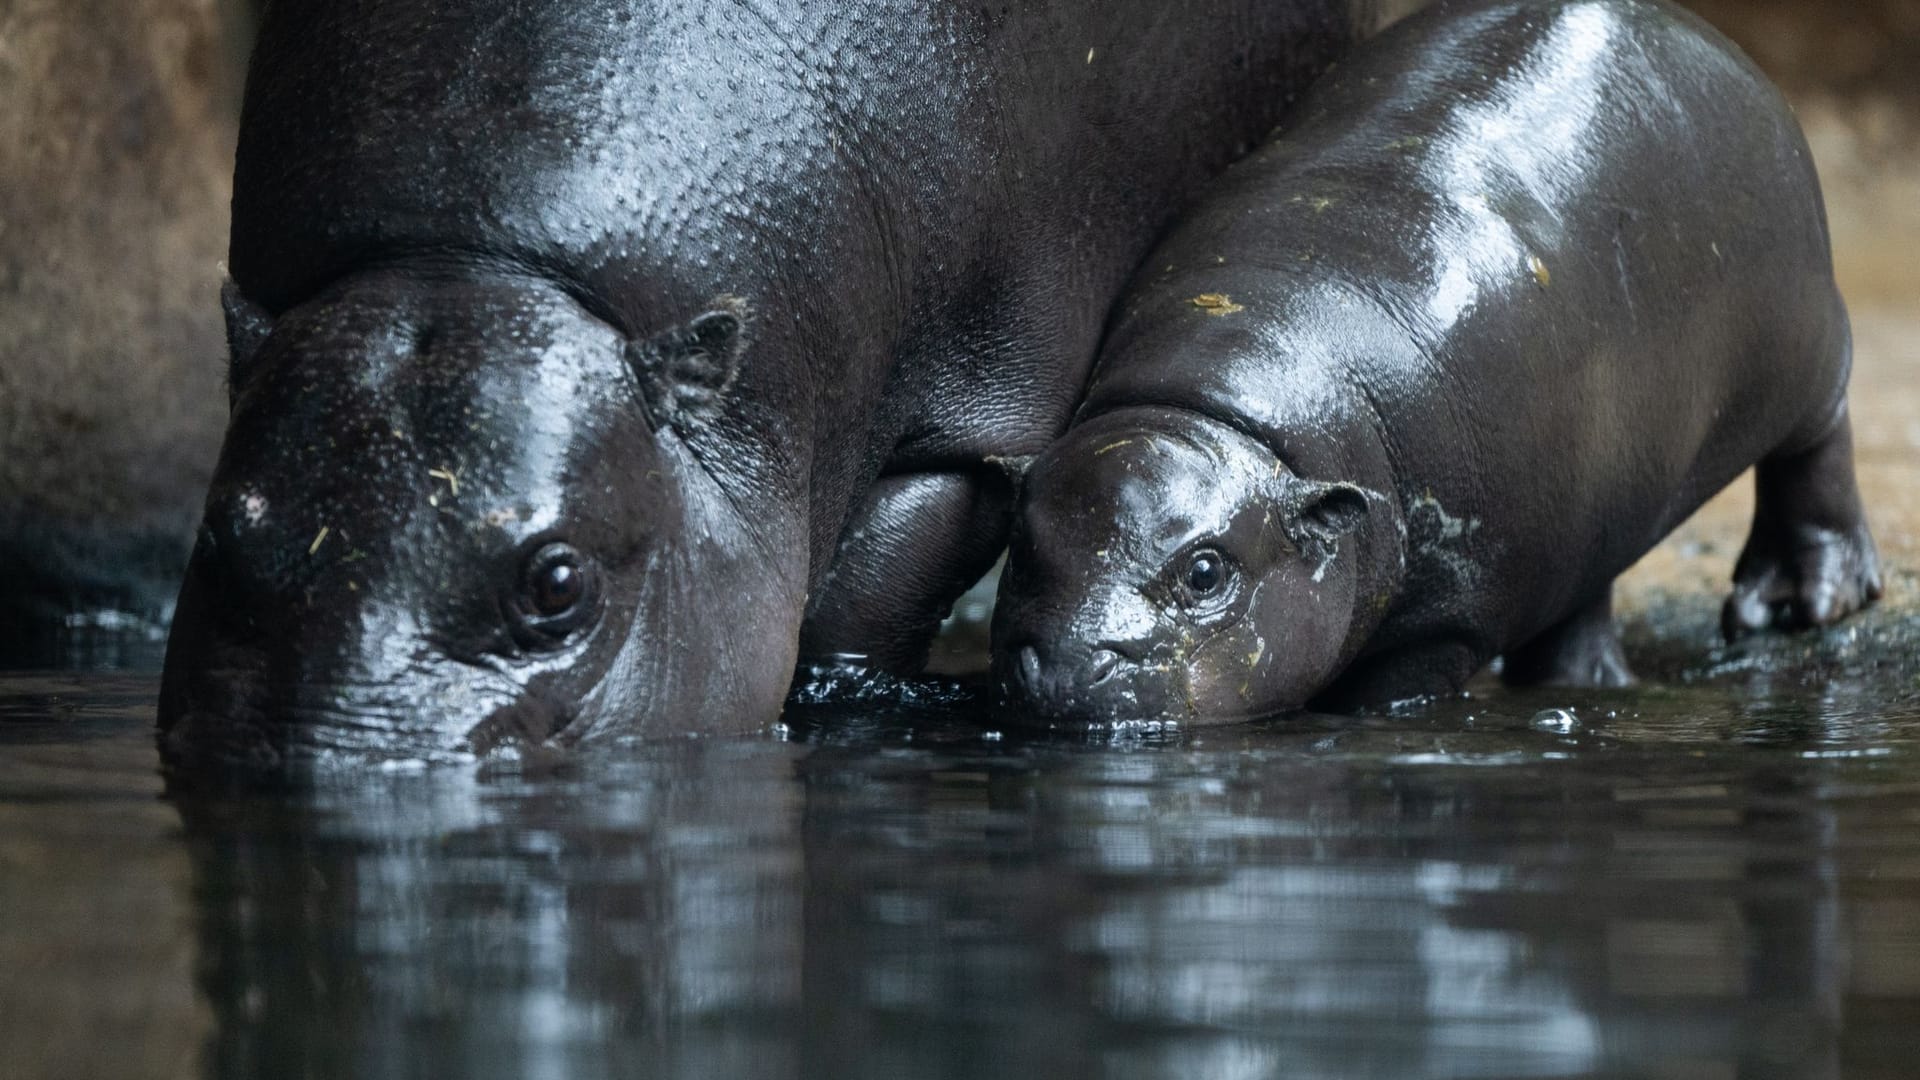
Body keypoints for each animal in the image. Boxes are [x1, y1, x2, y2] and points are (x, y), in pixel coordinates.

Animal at [161, 0, 1413, 764]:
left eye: (559, 582)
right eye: (219, 539)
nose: (327, 764)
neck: (473, 261)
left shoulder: (962, 427)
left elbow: (864, 606)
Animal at [998, 0, 1881, 726]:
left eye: (1206, 572)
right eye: (1022, 541)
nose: (1066, 666)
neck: (1222, 417)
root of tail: (1714, 42)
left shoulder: (1448, 624)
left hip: (1805, 343)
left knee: (1818, 443)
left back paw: (1796, 603)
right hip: (1602, 488)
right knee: (1585, 592)